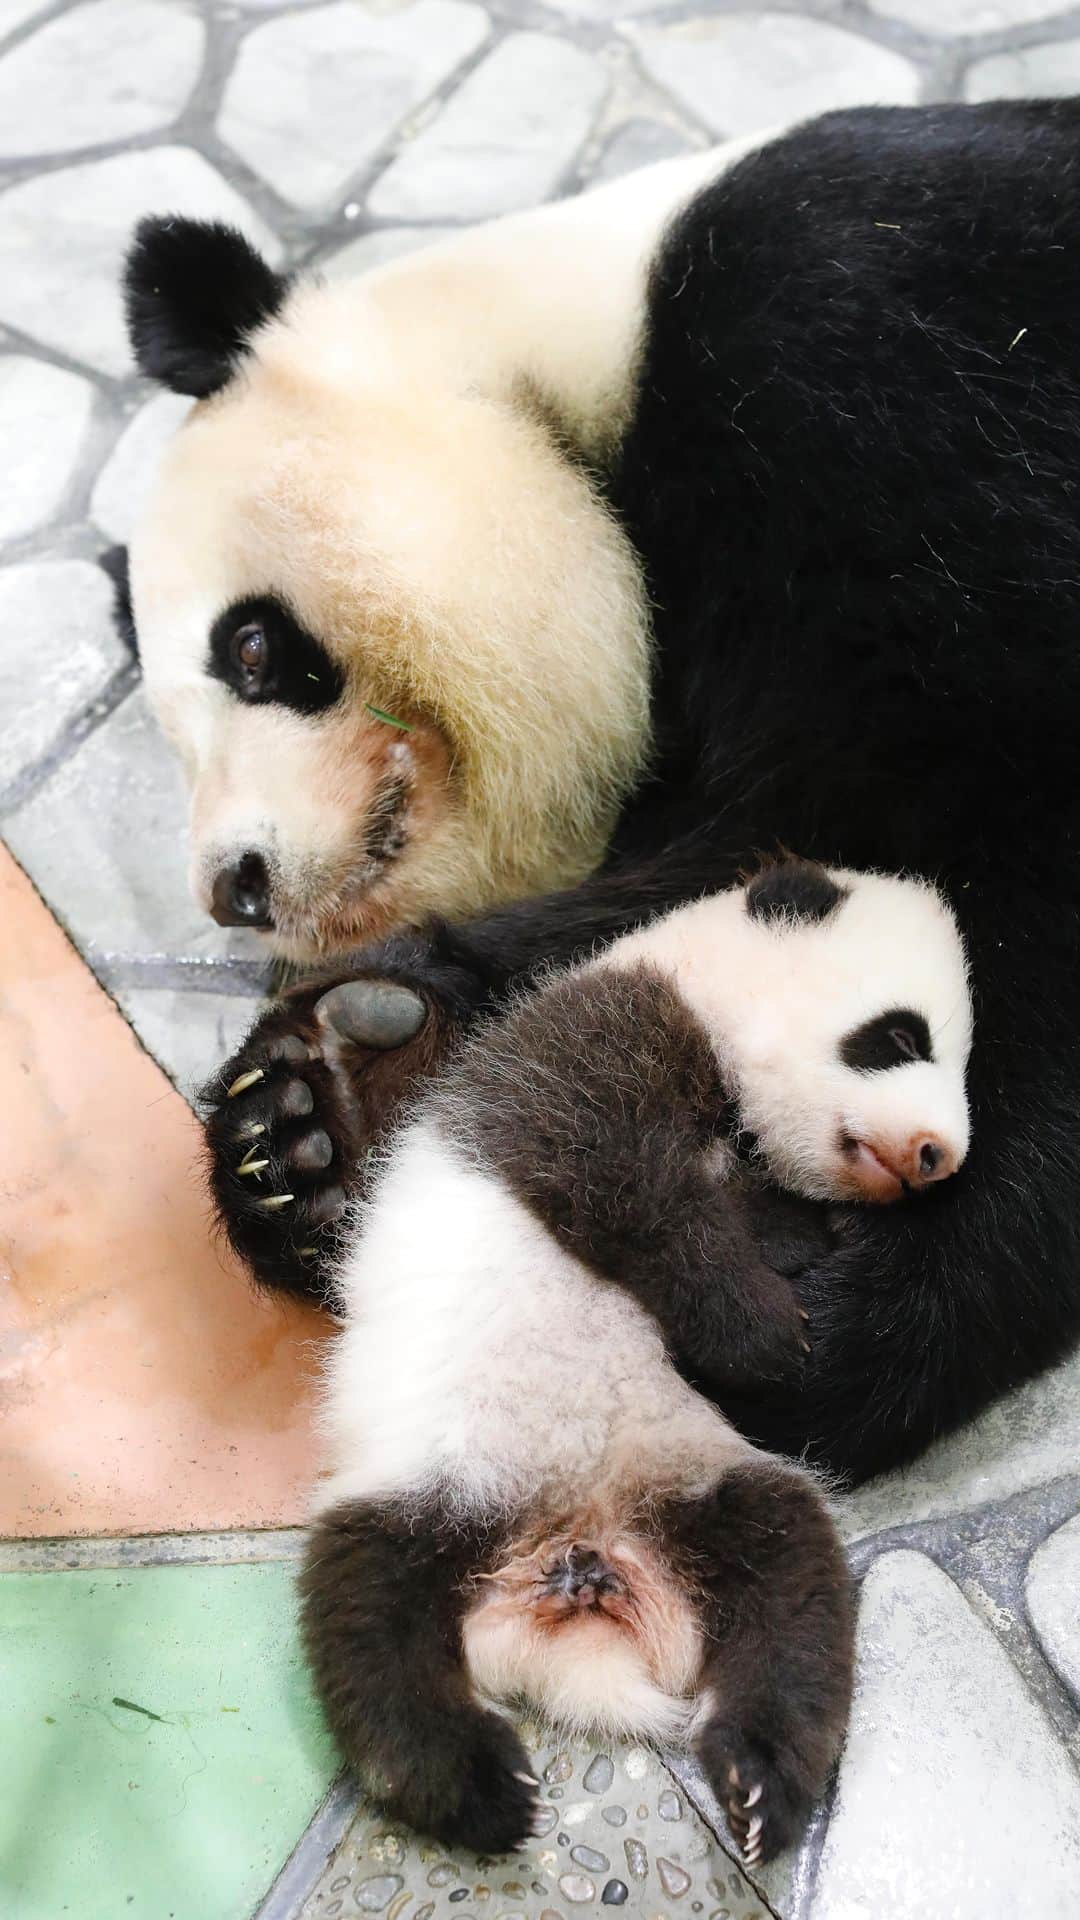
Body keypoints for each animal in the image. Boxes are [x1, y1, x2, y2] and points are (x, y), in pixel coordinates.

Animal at [122, 101, 1076, 1482]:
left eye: (250, 647)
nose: (234, 887)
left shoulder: (880, 361)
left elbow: (970, 822)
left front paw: (859, 1305)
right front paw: (325, 1113)